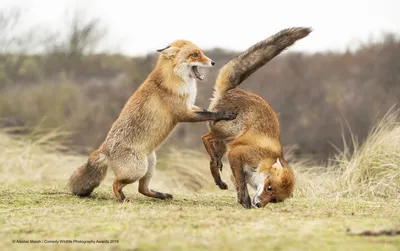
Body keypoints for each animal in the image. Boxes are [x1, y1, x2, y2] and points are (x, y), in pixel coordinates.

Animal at [69, 40, 236, 201]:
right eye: (195, 54)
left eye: (201, 52)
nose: (213, 62)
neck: (175, 79)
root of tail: (104, 149)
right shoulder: (182, 113)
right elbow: (209, 114)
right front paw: (225, 114)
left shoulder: (190, 106)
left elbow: (205, 110)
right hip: (137, 170)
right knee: (115, 184)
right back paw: (122, 199)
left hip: (150, 165)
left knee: (142, 189)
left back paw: (162, 195)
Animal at [202, 27, 310, 208]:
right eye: (269, 188)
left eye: (274, 199)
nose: (259, 205)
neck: (263, 161)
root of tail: (233, 90)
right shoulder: (236, 154)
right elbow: (241, 184)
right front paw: (246, 202)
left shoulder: (236, 165)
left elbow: (238, 185)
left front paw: (242, 200)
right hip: (230, 131)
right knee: (205, 138)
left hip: (223, 144)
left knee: (212, 161)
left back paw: (219, 179)